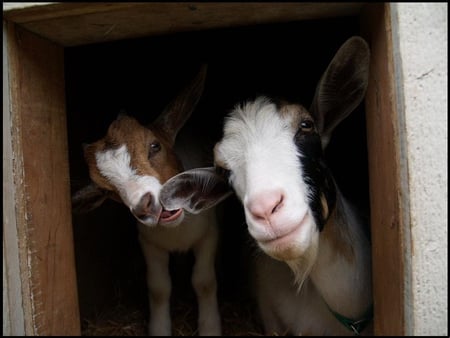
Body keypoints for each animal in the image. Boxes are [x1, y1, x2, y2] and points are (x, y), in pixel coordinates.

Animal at [74, 66, 230, 336]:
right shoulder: (148, 242)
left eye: (155, 146)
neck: (177, 230)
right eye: (105, 190)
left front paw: (210, 327)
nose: (145, 204)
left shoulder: (209, 233)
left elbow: (204, 281)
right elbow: (158, 288)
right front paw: (159, 328)